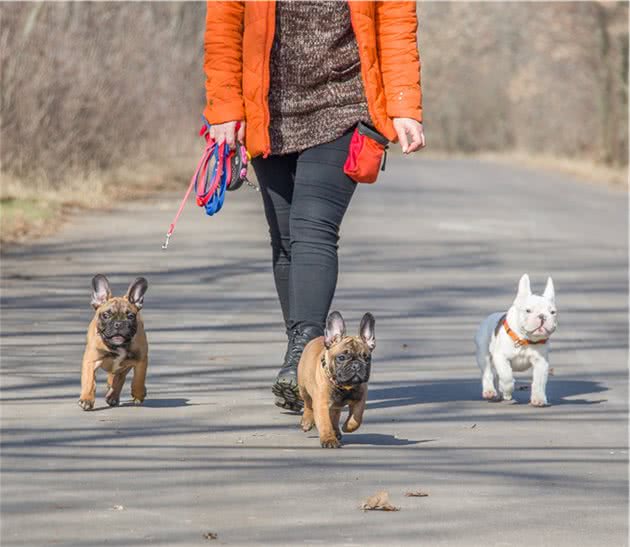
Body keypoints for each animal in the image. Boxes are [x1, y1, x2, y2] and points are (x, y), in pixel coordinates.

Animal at [77, 274, 149, 412]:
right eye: (106, 315)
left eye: (131, 316)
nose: (118, 324)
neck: (117, 346)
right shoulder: (90, 361)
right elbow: (89, 381)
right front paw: (87, 399)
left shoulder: (141, 360)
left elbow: (138, 379)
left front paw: (138, 394)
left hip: (124, 367)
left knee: (119, 378)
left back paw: (113, 395)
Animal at [298, 312, 376, 450]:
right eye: (341, 357)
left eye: (367, 358)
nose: (356, 365)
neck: (344, 386)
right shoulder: (321, 404)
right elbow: (324, 423)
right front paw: (329, 439)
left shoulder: (360, 400)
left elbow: (357, 417)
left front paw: (347, 427)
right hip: (303, 388)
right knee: (308, 404)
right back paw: (307, 421)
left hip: (335, 406)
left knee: (334, 415)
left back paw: (336, 431)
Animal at [476, 274, 560, 406]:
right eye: (528, 310)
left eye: (553, 312)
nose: (542, 316)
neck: (525, 339)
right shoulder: (501, 357)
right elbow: (506, 376)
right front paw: (506, 391)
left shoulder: (541, 362)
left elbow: (539, 381)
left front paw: (539, 398)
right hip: (483, 354)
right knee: (488, 373)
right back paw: (490, 391)